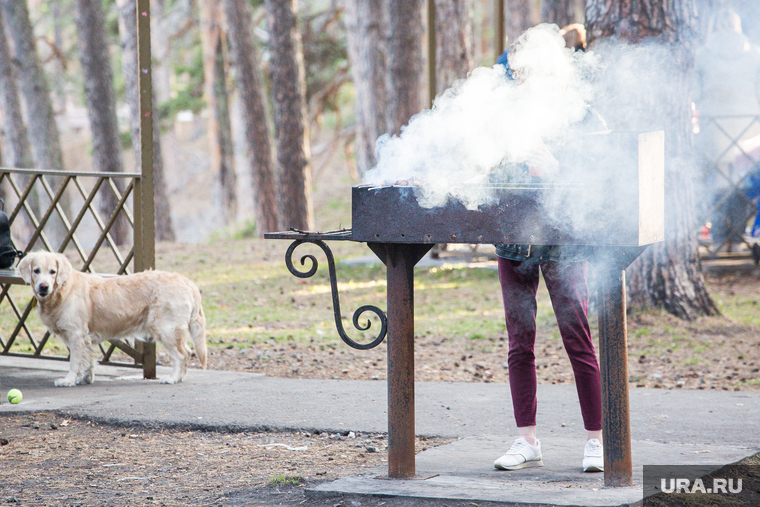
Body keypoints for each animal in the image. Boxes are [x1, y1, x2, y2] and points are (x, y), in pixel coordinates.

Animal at [18, 252, 208, 386]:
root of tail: (187, 282)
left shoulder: (76, 335)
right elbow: (87, 361)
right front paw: (84, 379)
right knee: (186, 353)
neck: (63, 289)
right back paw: (179, 378)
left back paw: (172, 378)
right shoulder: (86, 338)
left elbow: (74, 362)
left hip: (165, 328)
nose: (43, 287)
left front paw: (68, 380)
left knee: (182, 354)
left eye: (53, 272)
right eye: (36, 271)